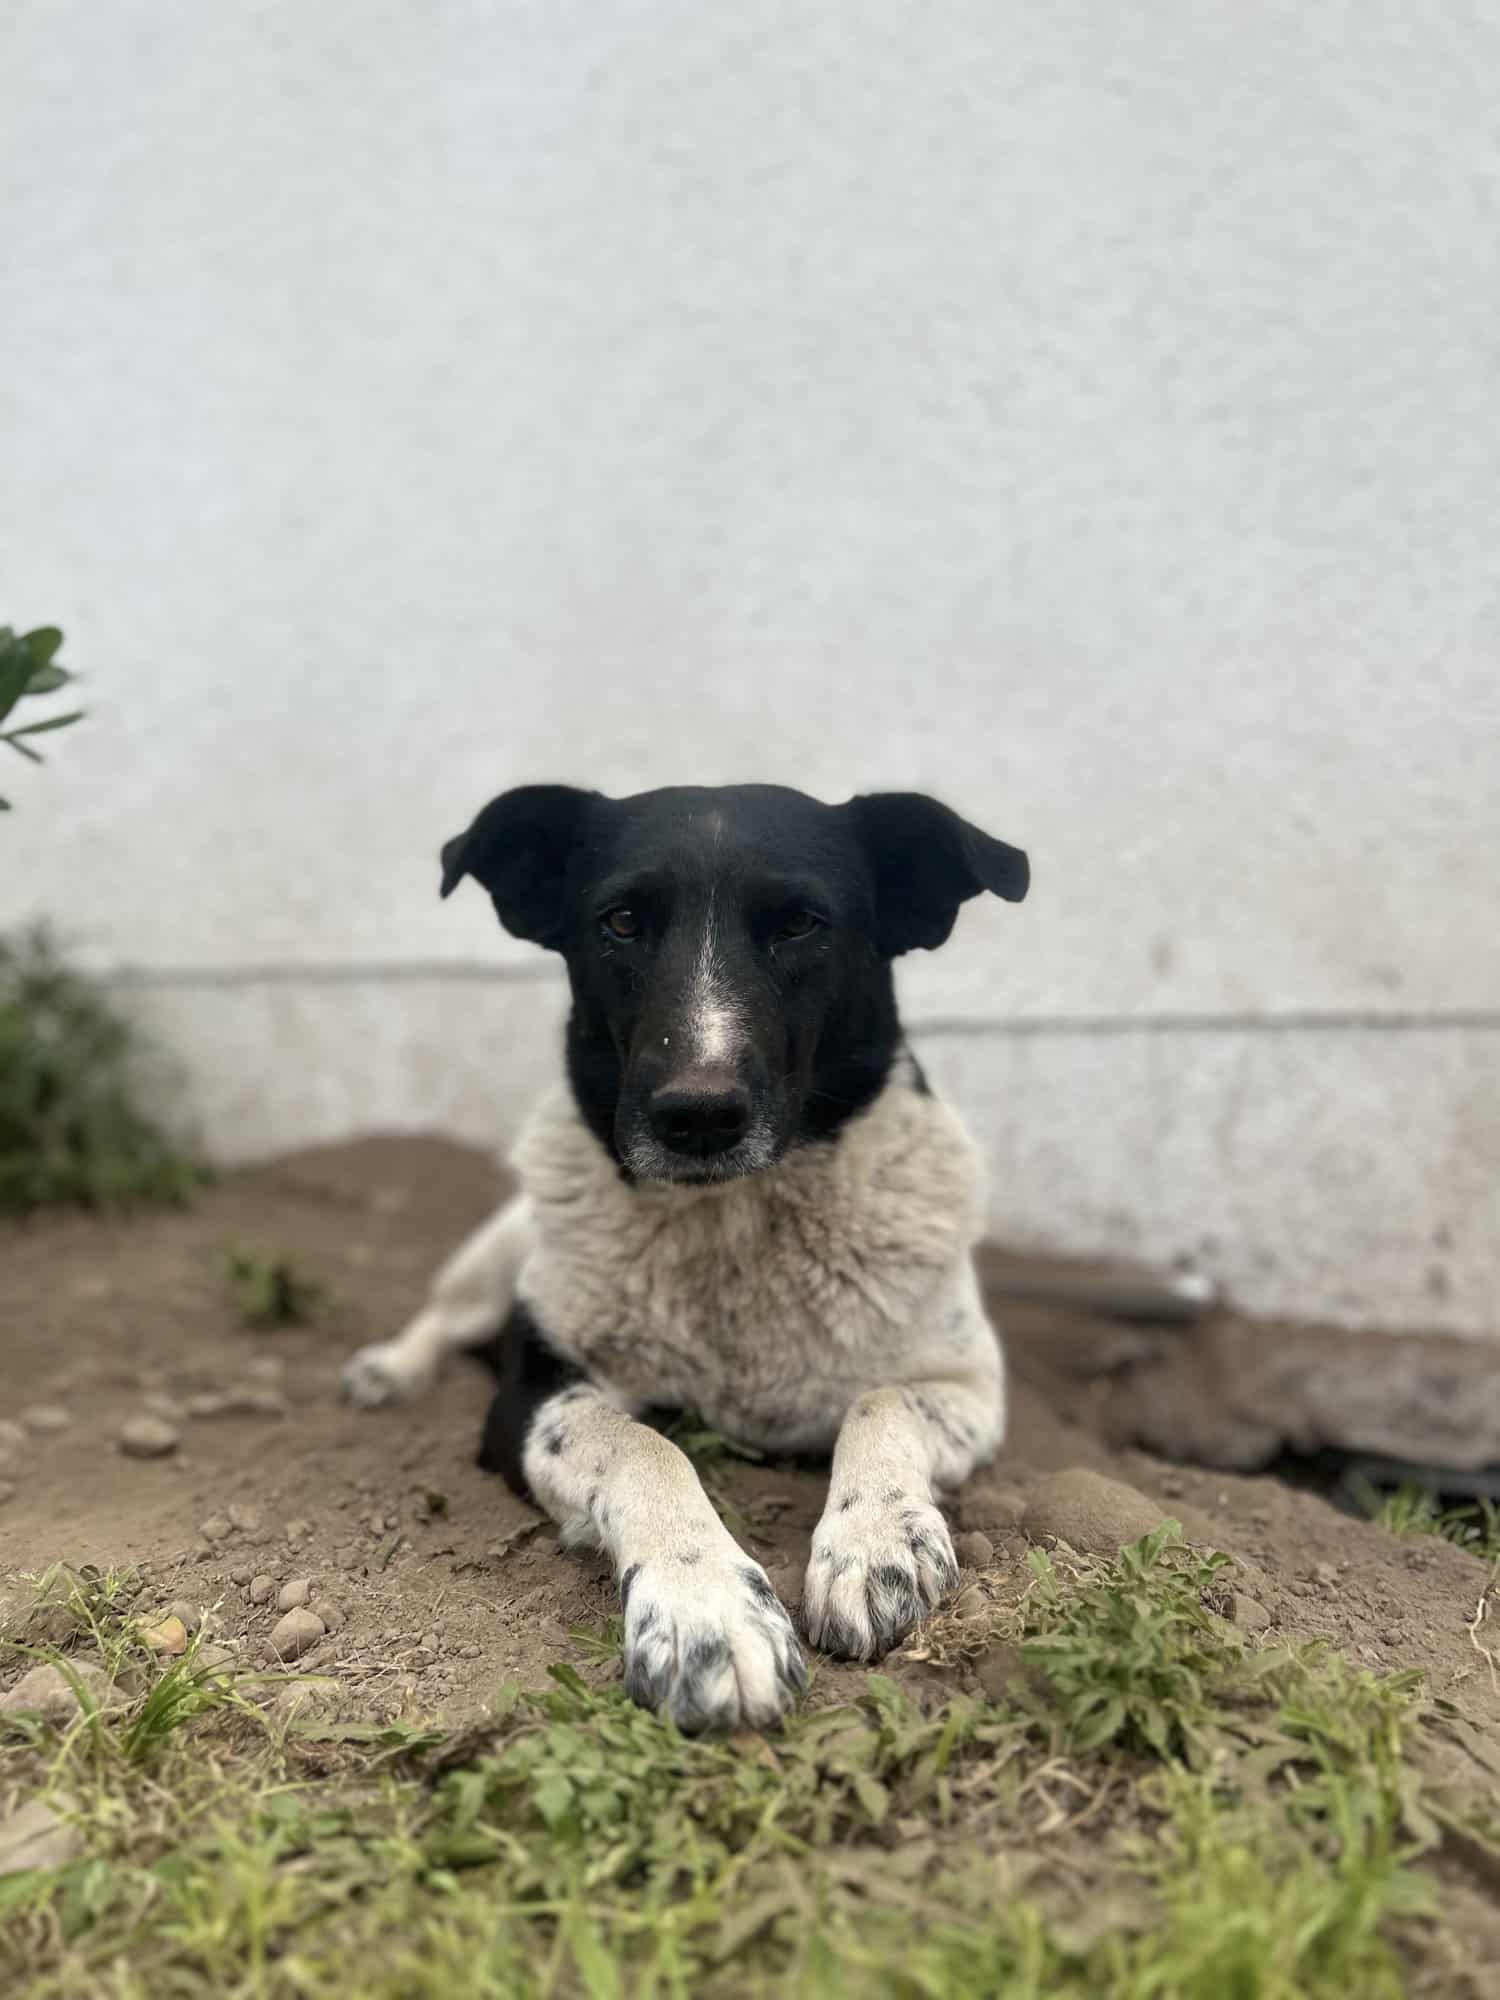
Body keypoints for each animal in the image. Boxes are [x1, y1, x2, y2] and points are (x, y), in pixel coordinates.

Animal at [346, 780, 1032, 1736]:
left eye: (801, 923)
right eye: (623, 921)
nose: (698, 1115)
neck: (732, 1227)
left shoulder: (969, 1385)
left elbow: (881, 1398)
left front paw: (876, 1542)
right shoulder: (531, 1397)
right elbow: (643, 1447)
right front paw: (705, 1613)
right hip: (495, 1254)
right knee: (444, 1317)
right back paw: (389, 1369)